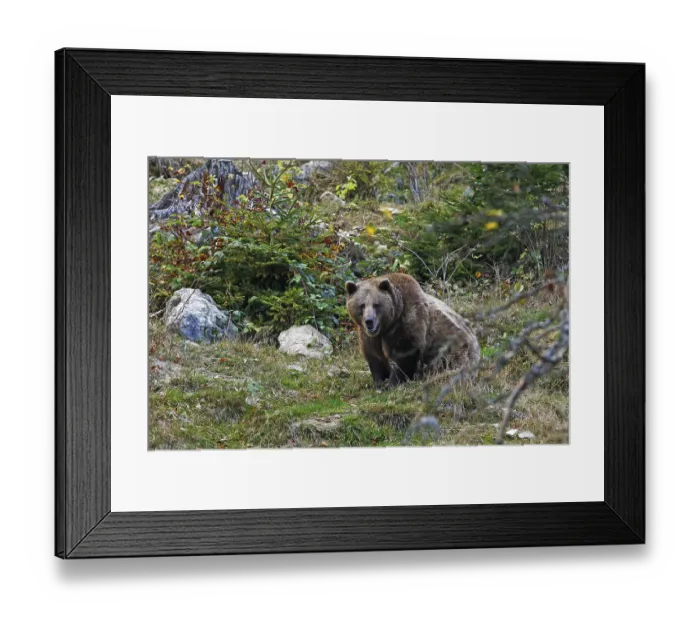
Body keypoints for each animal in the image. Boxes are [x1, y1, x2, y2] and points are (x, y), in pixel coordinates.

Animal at [345, 273, 480, 387]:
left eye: (376, 305)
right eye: (361, 305)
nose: (369, 321)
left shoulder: (407, 323)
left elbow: (405, 354)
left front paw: (393, 383)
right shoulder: (369, 336)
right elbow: (374, 356)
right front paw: (379, 383)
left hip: (455, 346)